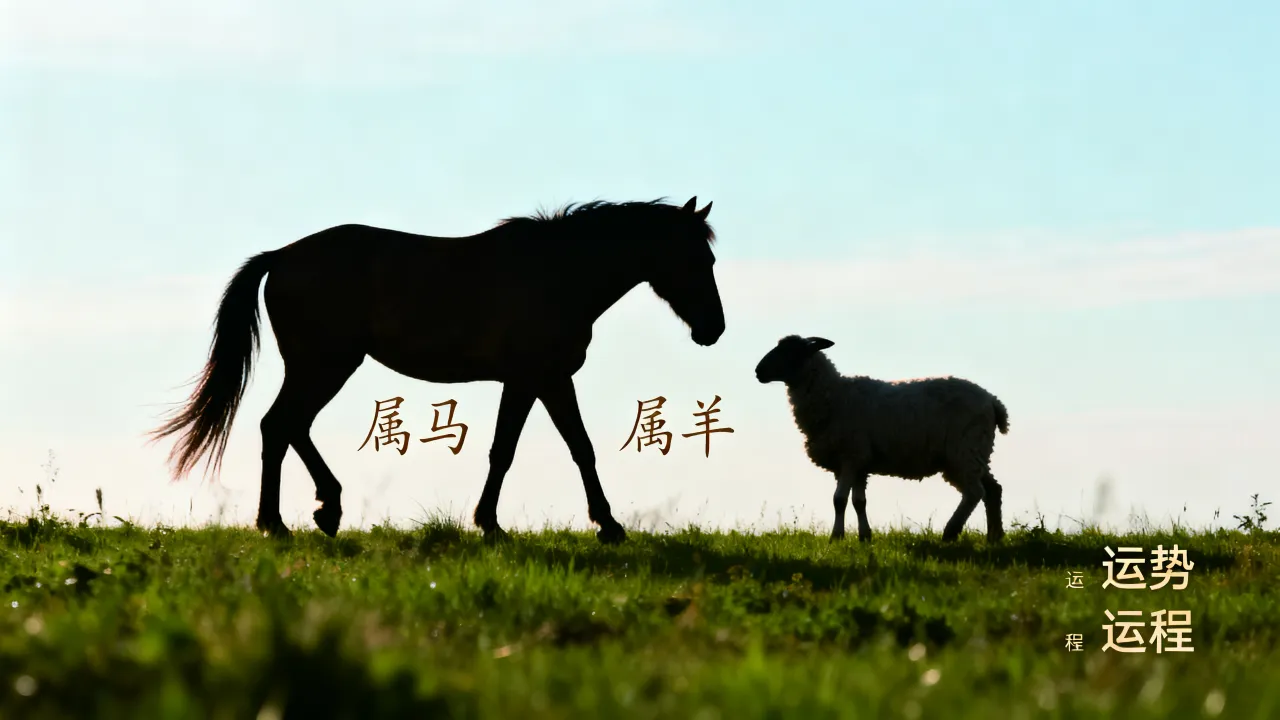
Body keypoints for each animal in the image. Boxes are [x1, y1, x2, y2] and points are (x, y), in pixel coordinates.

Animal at [148, 196, 724, 544]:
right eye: (697, 260)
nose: (713, 329)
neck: (558, 273)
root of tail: (282, 255)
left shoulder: (536, 381)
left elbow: (534, 449)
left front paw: (497, 522)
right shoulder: (540, 378)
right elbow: (548, 448)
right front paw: (600, 525)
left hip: (323, 366)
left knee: (290, 427)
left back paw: (316, 512)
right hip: (325, 364)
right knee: (280, 425)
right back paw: (283, 521)